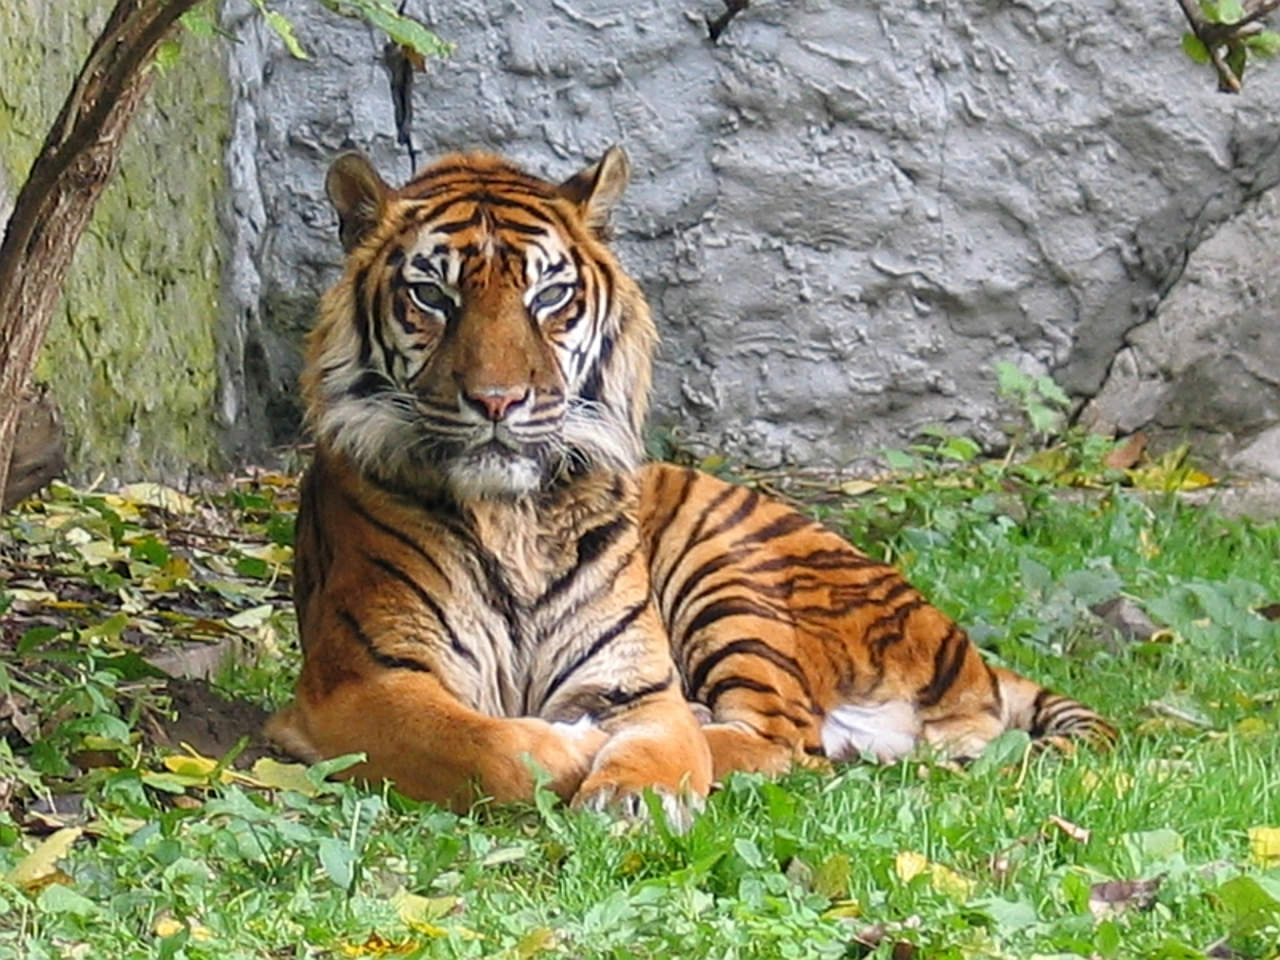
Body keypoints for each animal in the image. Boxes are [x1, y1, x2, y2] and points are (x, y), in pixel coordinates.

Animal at [267, 145, 1112, 818]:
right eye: (431, 296)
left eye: (549, 297)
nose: (499, 401)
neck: (514, 518)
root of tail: (967, 654)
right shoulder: (364, 683)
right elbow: (488, 746)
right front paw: (573, 750)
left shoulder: (636, 686)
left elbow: (664, 743)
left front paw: (635, 791)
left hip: (727, 570)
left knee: (786, 738)